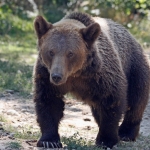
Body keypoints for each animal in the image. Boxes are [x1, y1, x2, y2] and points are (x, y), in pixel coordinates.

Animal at [33, 12, 150, 149]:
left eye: (70, 53)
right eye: (51, 52)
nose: (57, 76)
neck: (75, 74)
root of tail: (133, 37)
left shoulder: (100, 75)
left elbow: (111, 101)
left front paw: (106, 140)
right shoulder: (46, 75)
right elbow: (48, 102)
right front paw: (49, 140)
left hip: (135, 67)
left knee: (136, 100)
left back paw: (126, 133)